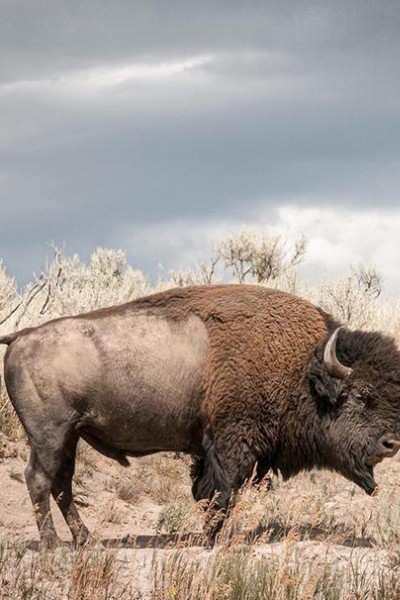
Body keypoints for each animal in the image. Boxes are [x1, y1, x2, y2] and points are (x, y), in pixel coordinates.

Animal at [0, 286, 400, 548]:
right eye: (362, 397)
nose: (391, 443)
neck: (300, 368)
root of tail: (21, 336)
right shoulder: (231, 444)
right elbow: (222, 491)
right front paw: (212, 539)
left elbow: (210, 491)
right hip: (49, 434)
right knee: (39, 480)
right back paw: (53, 546)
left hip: (70, 435)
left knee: (61, 484)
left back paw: (86, 540)